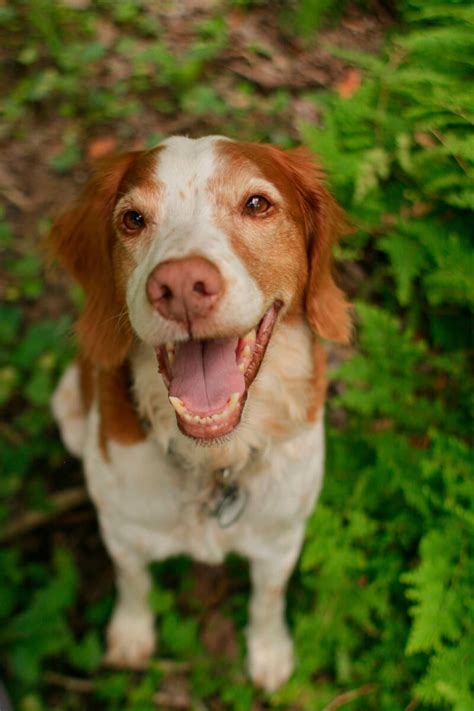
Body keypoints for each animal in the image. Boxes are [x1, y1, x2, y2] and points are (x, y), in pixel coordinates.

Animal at [50, 136, 350, 692]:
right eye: (133, 219)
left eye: (257, 204)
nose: (182, 284)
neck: (216, 462)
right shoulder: (121, 530)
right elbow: (133, 583)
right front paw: (131, 634)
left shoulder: (281, 538)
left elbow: (267, 602)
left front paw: (269, 652)